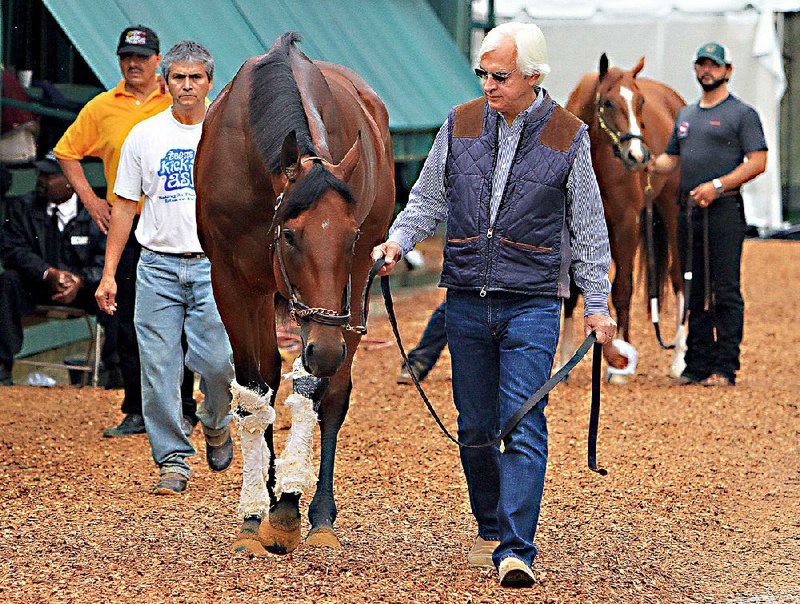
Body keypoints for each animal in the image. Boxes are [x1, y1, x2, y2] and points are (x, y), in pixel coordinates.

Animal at [194, 31, 394, 552]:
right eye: (289, 235)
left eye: (349, 238)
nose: (324, 349)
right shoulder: (233, 282)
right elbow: (255, 388)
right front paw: (254, 512)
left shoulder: (339, 295)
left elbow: (310, 389)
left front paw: (285, 506)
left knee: (332, 392)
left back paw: (317, 512)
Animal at [564, 53, 688, 382]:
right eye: (607, 102)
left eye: (641, 101)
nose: (638, 155)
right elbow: (571, 292)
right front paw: (563, 362)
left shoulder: (624, 225)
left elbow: (623, 288)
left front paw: (620, 364)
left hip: (672, 211)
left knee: (678, 277)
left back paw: (679, 359)